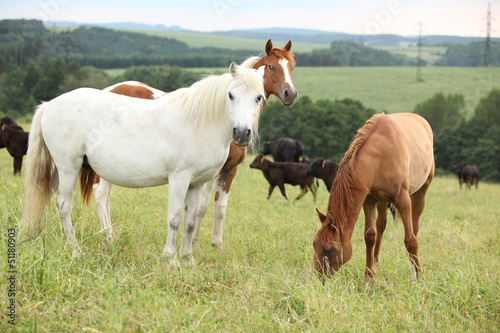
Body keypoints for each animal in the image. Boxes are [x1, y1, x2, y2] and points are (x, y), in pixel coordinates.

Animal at [22, 63, 266, 264]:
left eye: (259, 97)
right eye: (231, 95)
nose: (242, 133)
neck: (198, 122)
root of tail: (49, 104)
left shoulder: (196, 184)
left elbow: (189, 221)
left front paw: (188, 260)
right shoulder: (179, 179)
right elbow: (174, 219)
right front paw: (170, 260)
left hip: (57, 170)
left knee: (43, 194)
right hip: (68, 168)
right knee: (64, 205)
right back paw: (75, 251)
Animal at [79, 40, 294, 245]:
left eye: (291, 66)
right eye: (271, 66)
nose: (290, 94)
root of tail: (107, 89)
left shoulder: (228, 170)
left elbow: (219, 208)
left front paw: (216, 245)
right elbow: (201, 207)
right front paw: (195, 242)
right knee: (101, 192)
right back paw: (109, 236)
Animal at [312, 112, 434, 282]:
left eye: (329, 249)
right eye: (314, 244)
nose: (317, 279)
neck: (380, 156)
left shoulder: (403, 200)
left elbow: (410, 240)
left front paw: (420, 276)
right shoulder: (369, 201)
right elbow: (370, 237)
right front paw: (368, 278)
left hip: (421, 192)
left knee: (414, 227)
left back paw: (412, 266)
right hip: (382, 201)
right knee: (381, 225)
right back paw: (377, 260)